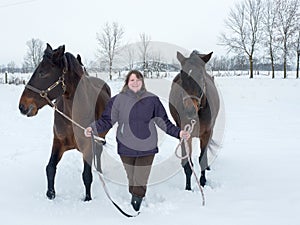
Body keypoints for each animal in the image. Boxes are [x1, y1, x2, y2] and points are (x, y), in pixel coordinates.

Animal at [18, 43, 111, 200]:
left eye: (42, 73)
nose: (22, 106)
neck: (72, 116)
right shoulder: (58, 142)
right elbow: (50, 168)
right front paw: (50, 194)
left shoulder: (88, 145)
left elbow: (87, 176)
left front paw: (87, 199)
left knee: (98, 152)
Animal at [169, 49, 220, 190]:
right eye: (182, 77)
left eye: (201, 77)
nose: (189, 111)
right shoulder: (185, 134)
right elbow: (188, 164)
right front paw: (188, 188)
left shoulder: (207, 133)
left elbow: (202, 158)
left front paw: (203, 182)